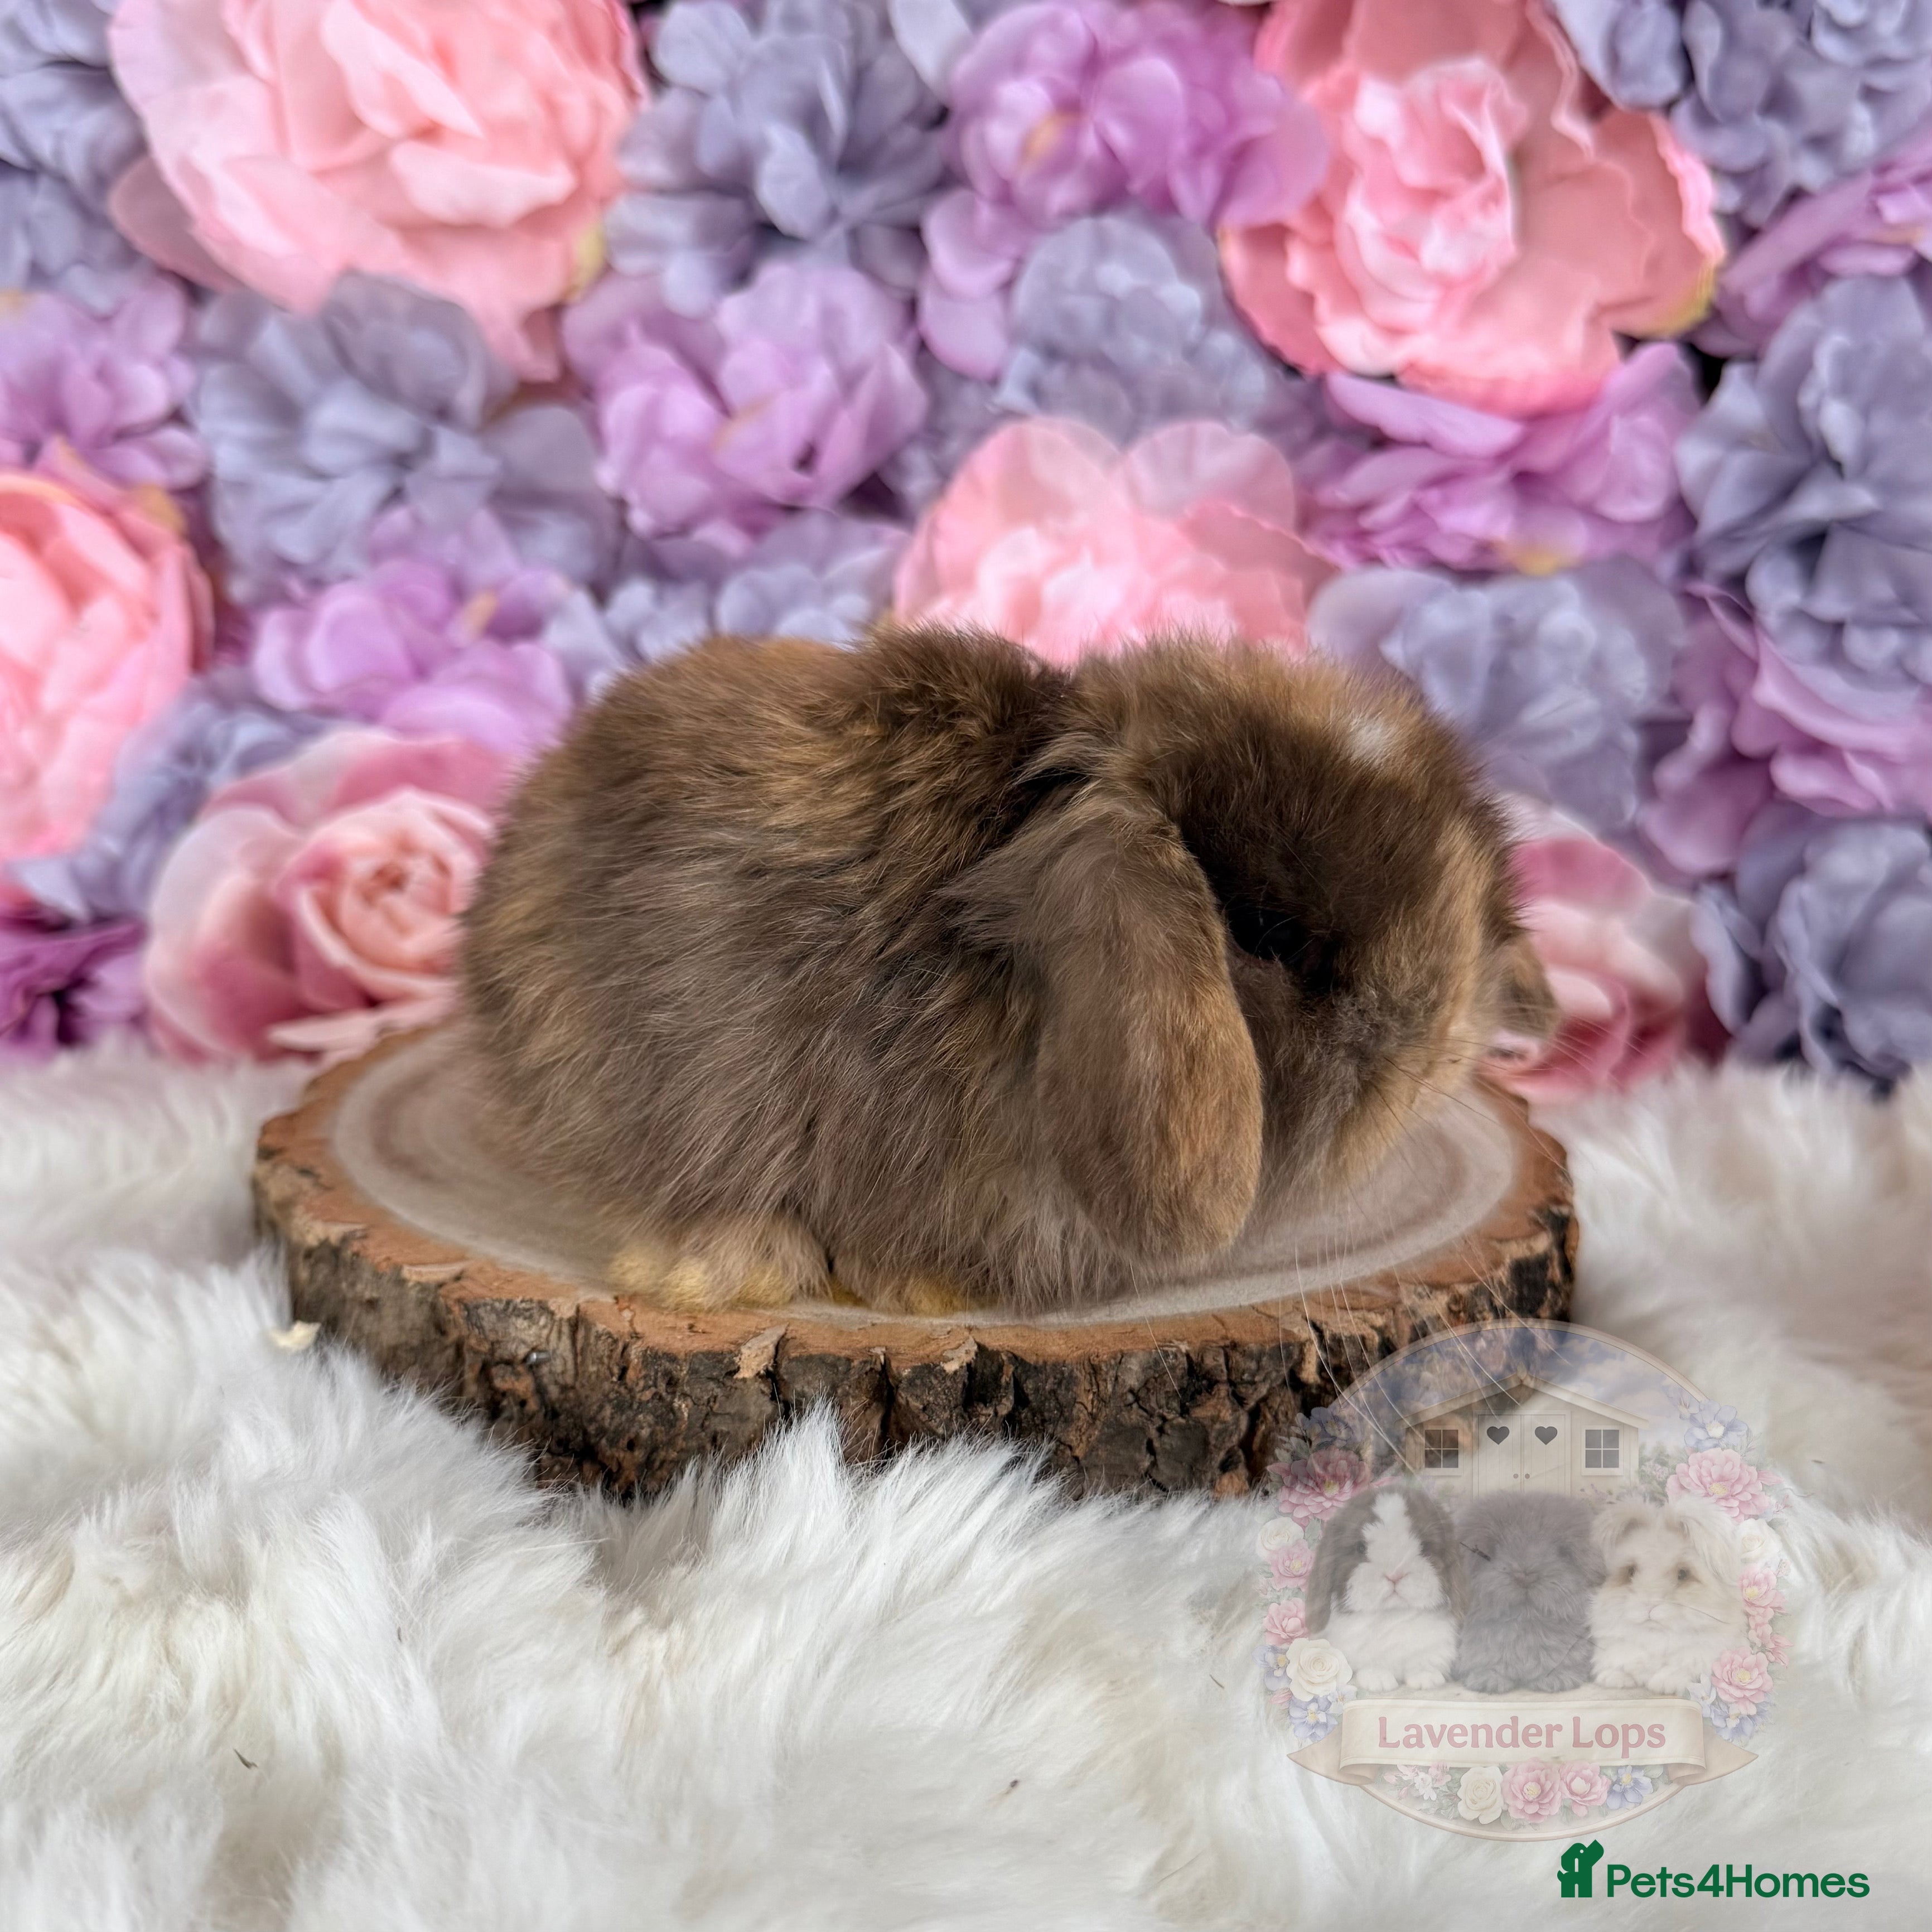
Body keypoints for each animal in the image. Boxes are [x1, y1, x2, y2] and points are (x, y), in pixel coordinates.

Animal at [1305, 1484, 1465, 1691]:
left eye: (1424, 1547)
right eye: (1361, 1548)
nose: (1394, 1574)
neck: (1393, 1617)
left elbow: (1423, 1661)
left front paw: (1426, 1678)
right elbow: (1369, 1664)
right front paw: (1379, 1680)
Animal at [1451, 1492, 1605, 1694]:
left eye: (1563, 1553)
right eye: (1487, 1554)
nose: (1525, 1576)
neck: (1526, 1629)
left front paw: (1558, 1680)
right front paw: (1488, 1681)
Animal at [1589, 1497, 1750, 1694]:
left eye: (1683, 1574)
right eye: (1631, 1572)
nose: (1649, 1605)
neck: (1656, 1637)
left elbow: (1680, 1668)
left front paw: (1664, 1684)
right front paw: (1614, 1679)